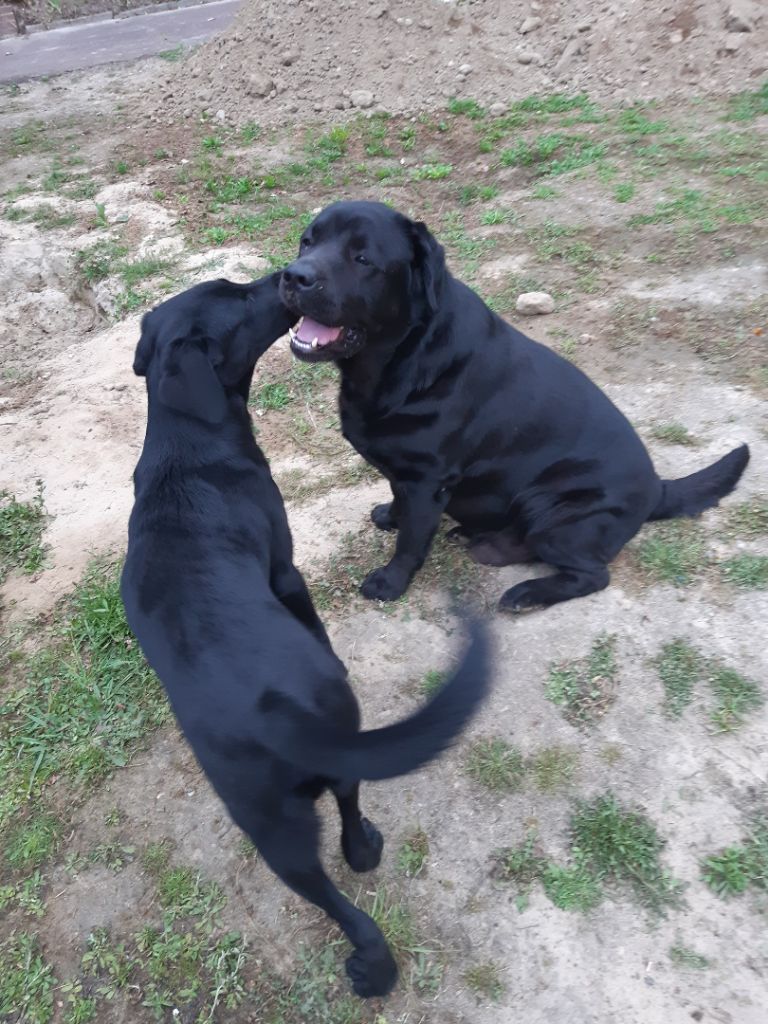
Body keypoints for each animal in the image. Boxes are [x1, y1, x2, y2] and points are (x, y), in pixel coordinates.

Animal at [120, 274, 493, 999]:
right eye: (237, 299)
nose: (281, 278)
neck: (185, 448)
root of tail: (284, 717)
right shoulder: (285, 570)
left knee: (345, 804)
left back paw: (362, 852)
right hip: (273, 825)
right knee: (338, 894)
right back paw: (374, 963)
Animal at [278, 203, 753, 610]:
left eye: (362, 258)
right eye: (307, 242)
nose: (294, 276)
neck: (403, 354)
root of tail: (658, 487)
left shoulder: (428, 480)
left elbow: (411, 542)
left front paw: (389, 583)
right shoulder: (406, 474)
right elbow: (399, 503)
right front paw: (389, 516)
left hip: (548, 506)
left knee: (593, 574)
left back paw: (526, 594)